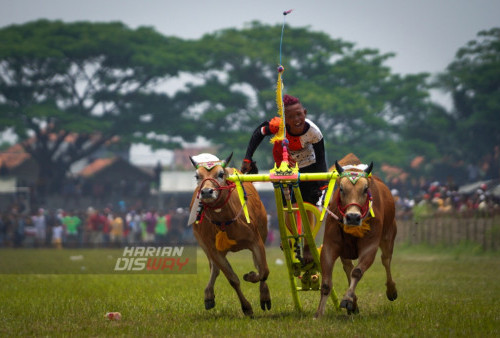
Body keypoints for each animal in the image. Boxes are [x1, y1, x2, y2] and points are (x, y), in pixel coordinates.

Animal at [189, 153, 272, 316]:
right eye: (197, 176)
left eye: (220, 174)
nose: (206, 192)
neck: (225, 221)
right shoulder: (213, 249)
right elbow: (232, 279)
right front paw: (246, 308)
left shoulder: (256, 241)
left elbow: (263, 271)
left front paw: (251, 277)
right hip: (204, 246)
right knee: (214, 269)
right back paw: (208, 295)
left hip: (264, 232)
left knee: (259, 266)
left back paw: (264, 295)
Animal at [316, 153, 398, 316]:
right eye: (341, 188)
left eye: (365, 189)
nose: (353, 217)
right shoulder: (330, 246)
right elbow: (327, 284)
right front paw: (319, 313)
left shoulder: (370, 247)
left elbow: (357, 272)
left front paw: (347, 299)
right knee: (348, 266)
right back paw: (354, 305)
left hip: (389, 235)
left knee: (386, 260)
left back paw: (391, 291)